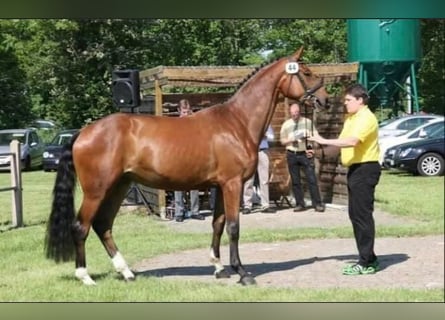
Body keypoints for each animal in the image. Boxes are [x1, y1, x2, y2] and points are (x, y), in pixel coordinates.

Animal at [45, 47, 330, 284]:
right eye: (306, 72)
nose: (325, 100)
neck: (236, 122)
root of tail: (83, 132)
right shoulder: (232, 184)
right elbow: (234, 227)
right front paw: (242, 272)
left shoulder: (220, 186)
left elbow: (218, 224)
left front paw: (219, 268)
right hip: (97, 190)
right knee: (81, 227)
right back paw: (85, 277)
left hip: (119, 186)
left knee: (103, 225)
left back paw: (126, 272)